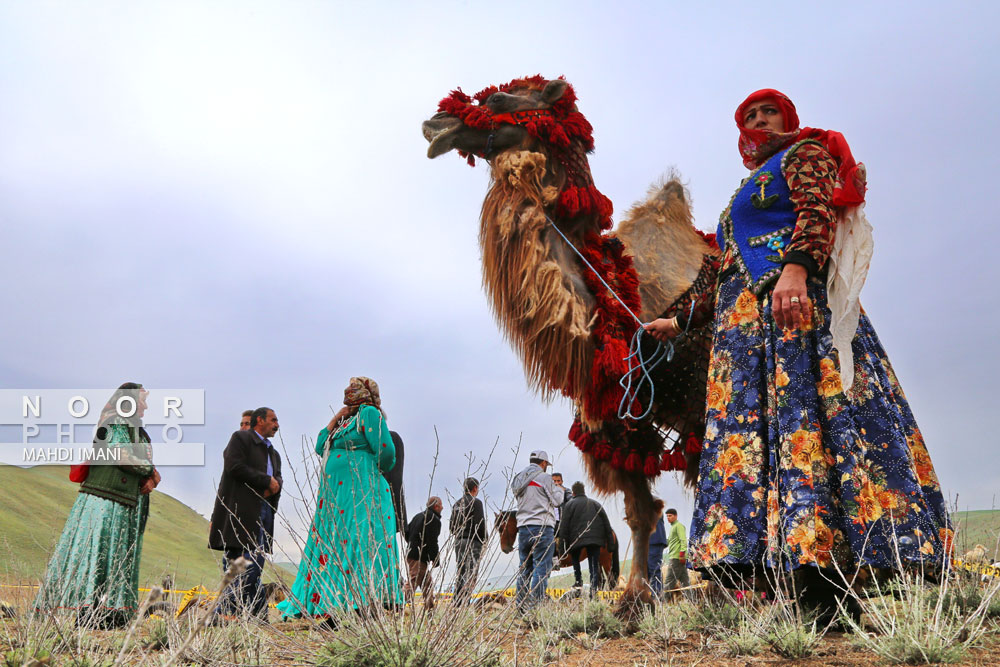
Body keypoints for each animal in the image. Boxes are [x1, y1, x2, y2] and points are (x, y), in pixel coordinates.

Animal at [422, 75, 720, 612]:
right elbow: (642, 511)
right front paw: (632, 601)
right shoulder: (619, 426)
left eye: (498, 98)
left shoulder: (694, 402)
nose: (435, 125)